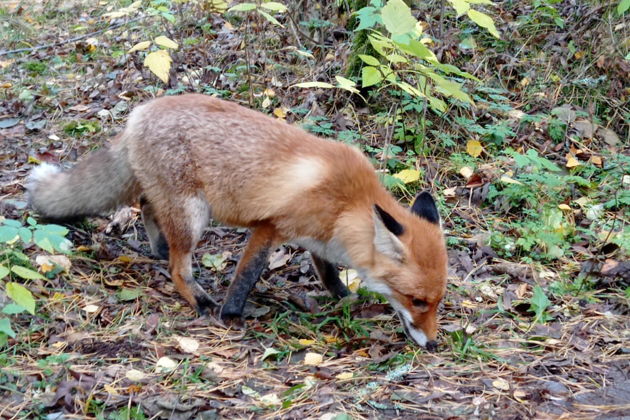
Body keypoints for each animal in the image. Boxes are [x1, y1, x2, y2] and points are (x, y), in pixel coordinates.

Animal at [25, 93, 450, 350]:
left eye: (437, 301)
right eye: (417, 301)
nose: (433, 343)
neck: (348, 205)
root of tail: (139, 112)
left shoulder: (317, 238)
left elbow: (328, 273)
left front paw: (344, 297)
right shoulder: (270, 226)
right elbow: (247, 274)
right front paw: (232, 315)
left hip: (172, 202)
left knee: (146, 205)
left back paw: (158, 248)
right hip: (194, 216)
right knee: (179, 268)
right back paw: (199, 300)